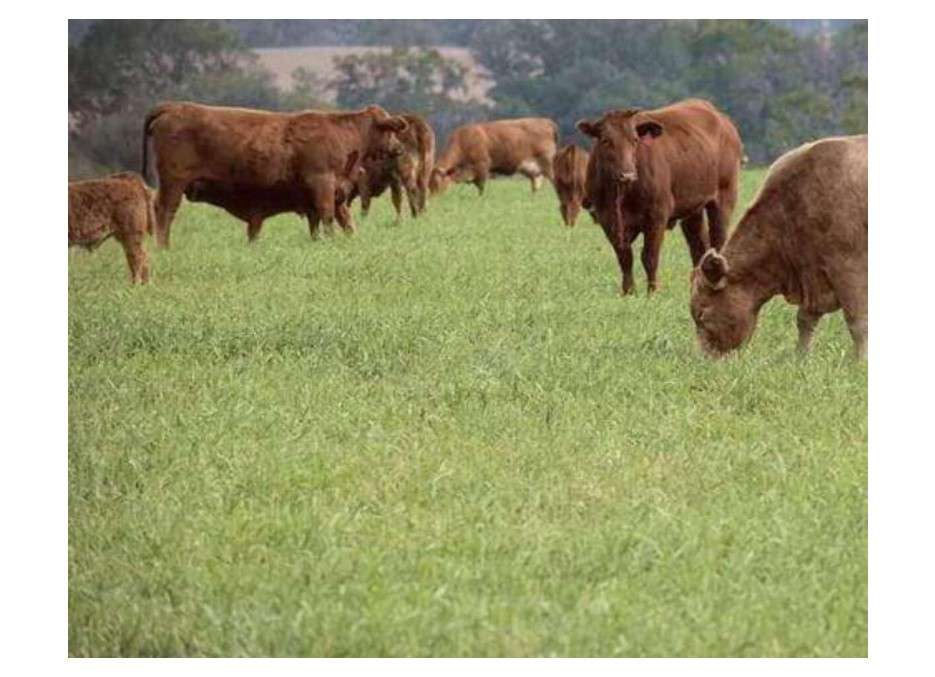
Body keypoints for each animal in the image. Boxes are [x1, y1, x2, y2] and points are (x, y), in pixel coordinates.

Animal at [429, 117, 558, 195]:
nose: (433, 197)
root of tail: (546, 121)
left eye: (437, 183)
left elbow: (481, 187)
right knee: (536, 185)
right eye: (429, 183)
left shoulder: (482, 166)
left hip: (548, 163)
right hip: (534, 170)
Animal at [577, 99, 743, 295]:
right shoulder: (607, 219)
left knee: (718, 240)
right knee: (698, 247)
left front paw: (652, 293)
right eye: (605, 140)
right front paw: (628, 292)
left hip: (724, 197)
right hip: (692, 209)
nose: (627, 175)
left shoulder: (657, 216)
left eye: (634, 140)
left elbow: (649, 257)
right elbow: (625, 257)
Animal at [691, 135, 868, 358]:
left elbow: (857, 322)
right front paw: (801, 357)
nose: (704, 360)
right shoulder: (812, 273)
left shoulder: (848, 267)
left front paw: (860, 361)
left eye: (702, 314)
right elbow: (804, 320)